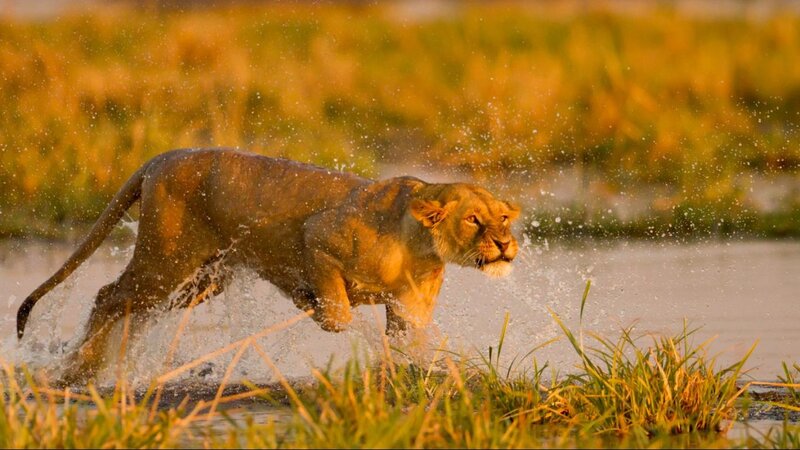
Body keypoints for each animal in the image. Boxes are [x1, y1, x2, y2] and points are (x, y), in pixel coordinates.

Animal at [17, 148, 520, 384]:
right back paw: (77, 372)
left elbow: (409, 349)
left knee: (131, 309)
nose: (504, 243)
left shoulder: (409, 312)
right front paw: (310, 302)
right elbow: (339, 314)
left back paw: (98, 369)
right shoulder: (317, 237)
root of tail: (163, 157)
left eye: (502, 217)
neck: (423, 248)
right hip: (167, 260)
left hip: (200, 279)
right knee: (109, 296)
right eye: (473, 219)